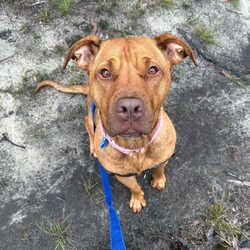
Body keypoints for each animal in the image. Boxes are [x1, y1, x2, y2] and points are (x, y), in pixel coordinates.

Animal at [33, 32, 197, 213]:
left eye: (152, 70)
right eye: (105, 72)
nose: (130, 108)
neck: (136, 147)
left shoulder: (164, 158)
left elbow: (159, 168)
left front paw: (159, 179)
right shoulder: (122, 176)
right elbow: (134, 187)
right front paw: (137, 199)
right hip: (91, 115)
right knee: (87, 122)